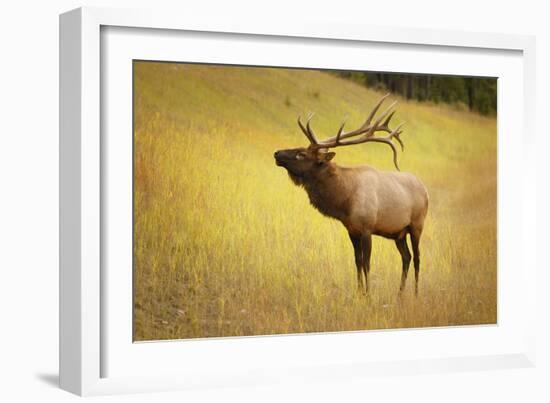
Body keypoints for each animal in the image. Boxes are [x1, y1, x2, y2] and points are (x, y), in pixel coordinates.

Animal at [276, 94, 432, 296]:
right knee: (406, 257)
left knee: (418, 258)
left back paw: (415, 294)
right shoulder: (351, 230)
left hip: (416, 225)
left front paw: (368, 295)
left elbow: (367, 264)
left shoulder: (367, 228)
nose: (277, 153)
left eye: (301, 154)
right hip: (399, 233)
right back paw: (399, 294)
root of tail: (425, 189)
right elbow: (357, 262)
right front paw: (359, 293)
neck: (345, 201)